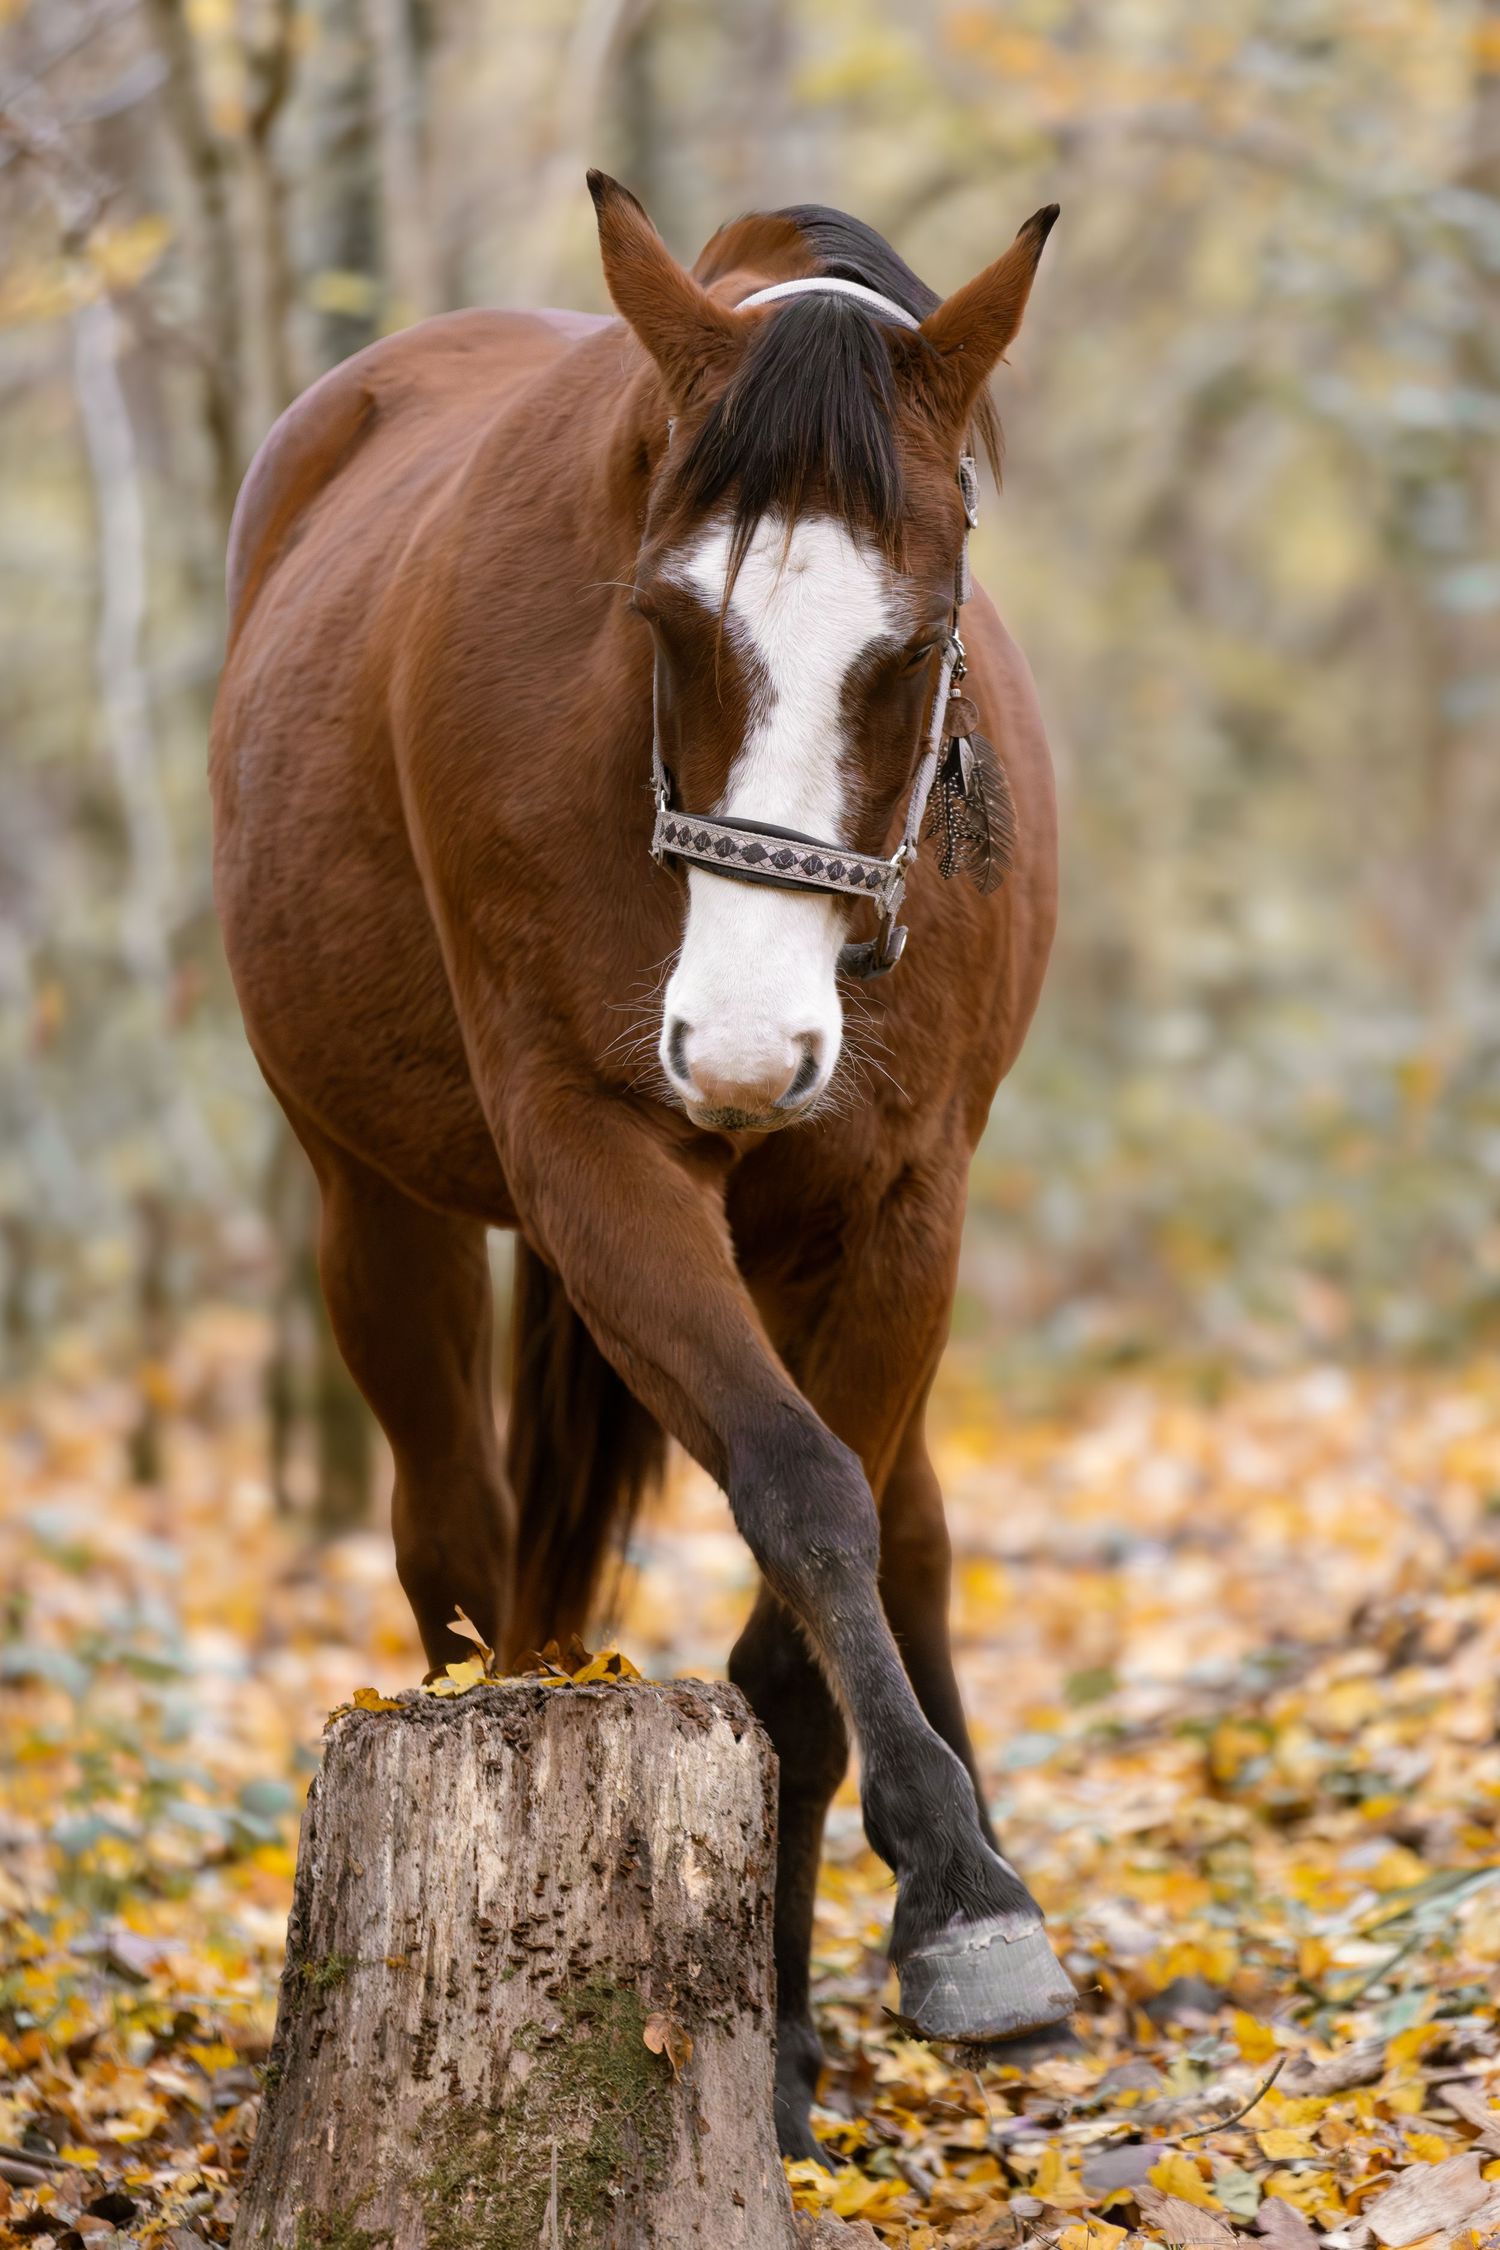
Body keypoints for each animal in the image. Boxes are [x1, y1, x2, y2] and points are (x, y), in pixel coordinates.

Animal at [211, 171, 1067, 2157]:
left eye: (916, 643)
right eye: (669, 622)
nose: (747, 1054)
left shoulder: (904, 1204)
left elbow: (817, 1599)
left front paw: (902, 1947)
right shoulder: (596, 1156)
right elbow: (799, 1489)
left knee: (909, 1524)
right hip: (375, 1208)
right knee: (455, 1540)